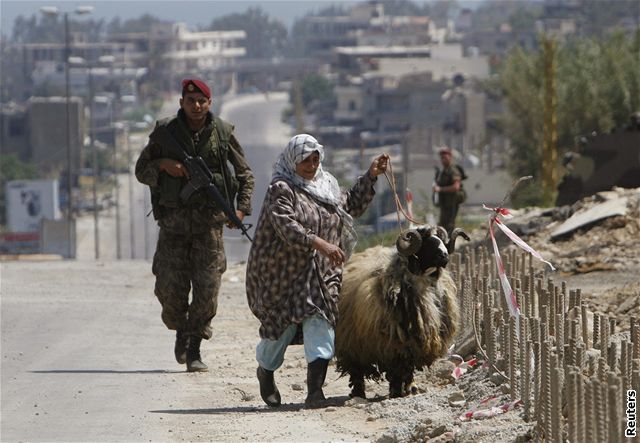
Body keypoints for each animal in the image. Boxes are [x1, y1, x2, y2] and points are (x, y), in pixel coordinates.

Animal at [338, 225, 468, 398]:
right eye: (427, 243)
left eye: (440, 240)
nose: (445, 256)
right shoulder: (396, 343)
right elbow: (401, 367)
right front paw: (398, 390)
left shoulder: (413, 343)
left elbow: (408, 367)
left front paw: (409, 387)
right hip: (351, 343)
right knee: (356, 369)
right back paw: (358, 392)